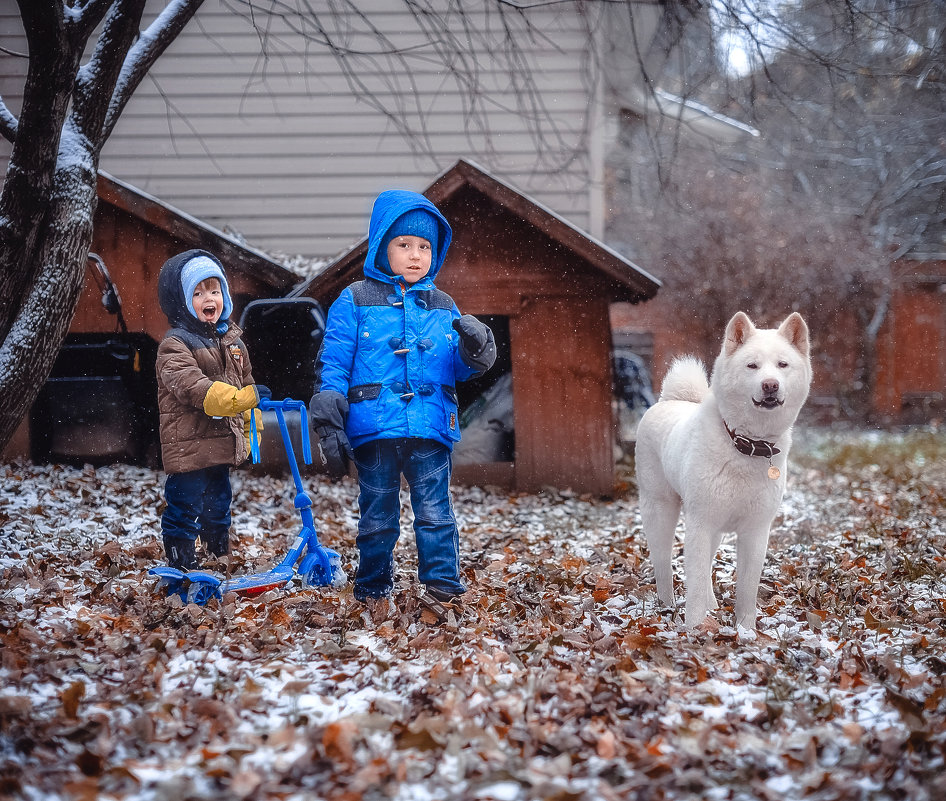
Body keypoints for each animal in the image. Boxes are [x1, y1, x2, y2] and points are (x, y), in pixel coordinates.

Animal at [632, 312, 808, 632]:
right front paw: (693, 629)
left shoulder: (755, 531)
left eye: (782, 365)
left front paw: (746, 631)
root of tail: (670, 399)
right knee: (664, 563)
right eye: (752, 365)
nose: (770, 385)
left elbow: (747, 589)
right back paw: (667, 605)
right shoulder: (700, 524)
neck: (745, 445)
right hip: (661, 512)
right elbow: (695, 583)